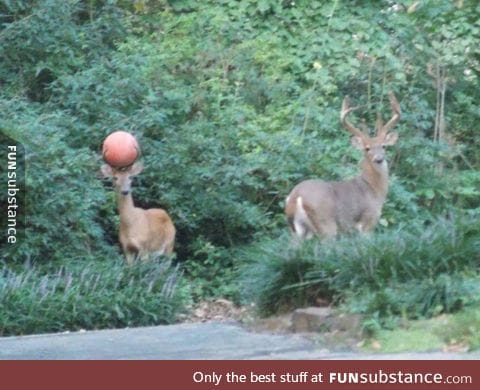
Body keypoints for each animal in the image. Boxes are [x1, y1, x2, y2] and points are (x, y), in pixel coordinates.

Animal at [284, 92, 402, 239]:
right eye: (367, 148)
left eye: (384, 146)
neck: (373, 189)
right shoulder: (368, 222)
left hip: (297, 230)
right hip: (325, 223)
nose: (379, 159)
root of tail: (295, 196)